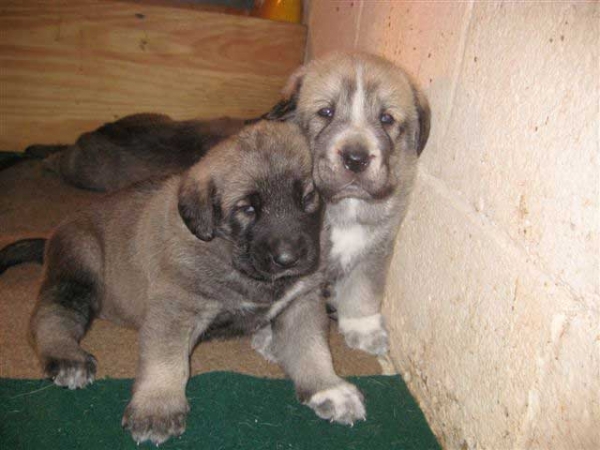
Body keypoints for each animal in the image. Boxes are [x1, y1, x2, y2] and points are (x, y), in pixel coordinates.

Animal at [28, 121, 360, 444]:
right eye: (247, 209)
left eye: (307, 198)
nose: (288, 258)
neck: (232, 254)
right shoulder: (176, 307)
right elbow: (166, 358)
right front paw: (157, 407)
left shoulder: (300, 301)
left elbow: (312, 348)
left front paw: (327, 387)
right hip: (79, 267)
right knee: (51, 316)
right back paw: (67, 357)